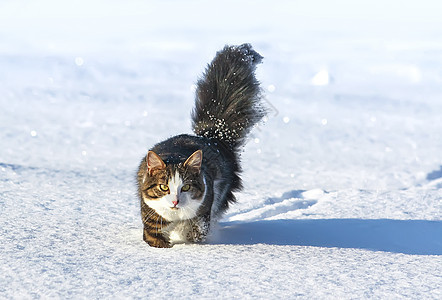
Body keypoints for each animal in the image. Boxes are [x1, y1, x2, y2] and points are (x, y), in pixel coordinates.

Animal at [136, 43, 266, 247]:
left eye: (186, 187)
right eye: (164, 187)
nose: (175, 202)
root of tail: (213, 136)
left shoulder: (204, 206)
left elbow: (197, 231)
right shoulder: (152, 218)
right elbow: (155, 239)